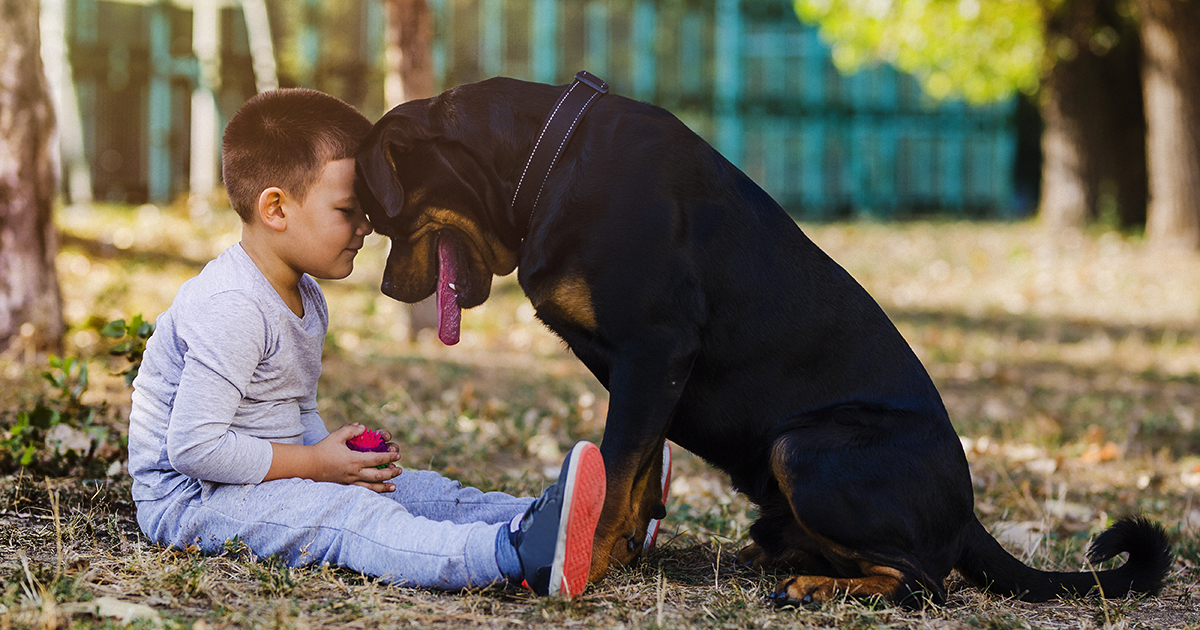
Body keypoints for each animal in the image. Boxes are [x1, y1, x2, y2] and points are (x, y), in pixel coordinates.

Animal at [355, 76, 1171, 602]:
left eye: (379, 214)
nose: (387, 290)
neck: (543, 165)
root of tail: (969, 513)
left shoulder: (656, 349)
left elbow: (617, 466)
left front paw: (584, 561)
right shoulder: (649, 373)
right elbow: (639, 471)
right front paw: (620, 551)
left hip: (803, 448)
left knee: (925, 582)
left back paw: (814, 586)